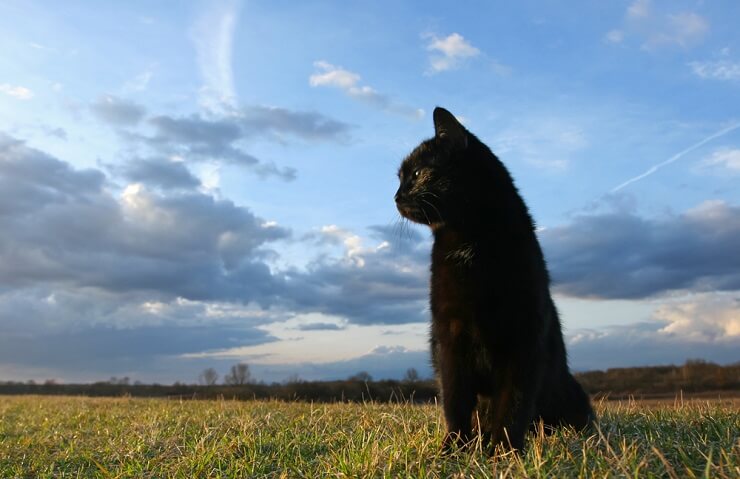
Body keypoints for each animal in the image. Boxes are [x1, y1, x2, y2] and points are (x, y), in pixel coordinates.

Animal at [394, 107, 596, 452]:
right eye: (400, 177)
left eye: (417, 174)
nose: (395, 196)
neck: (469, 241)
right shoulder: (449, 333)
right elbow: (455, 401)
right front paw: (453, 448)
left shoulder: (524, 335)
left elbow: (513, 402)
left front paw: (504, 450)